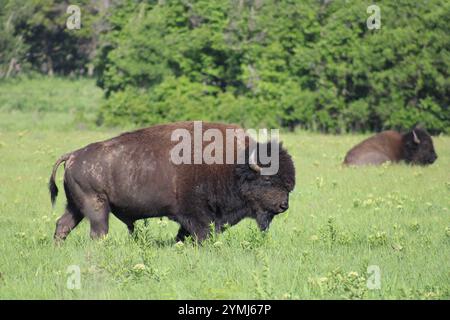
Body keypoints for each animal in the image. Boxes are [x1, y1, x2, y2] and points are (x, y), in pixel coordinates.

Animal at [48, 121, 296, 241]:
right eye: (268, 181)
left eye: (288, 186)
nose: (284, 205)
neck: (233, 165)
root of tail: (73, 155)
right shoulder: (195, 215)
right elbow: (201, 234)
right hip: (97, 207)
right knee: (98, 232)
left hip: (75, 206)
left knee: (63, 225)